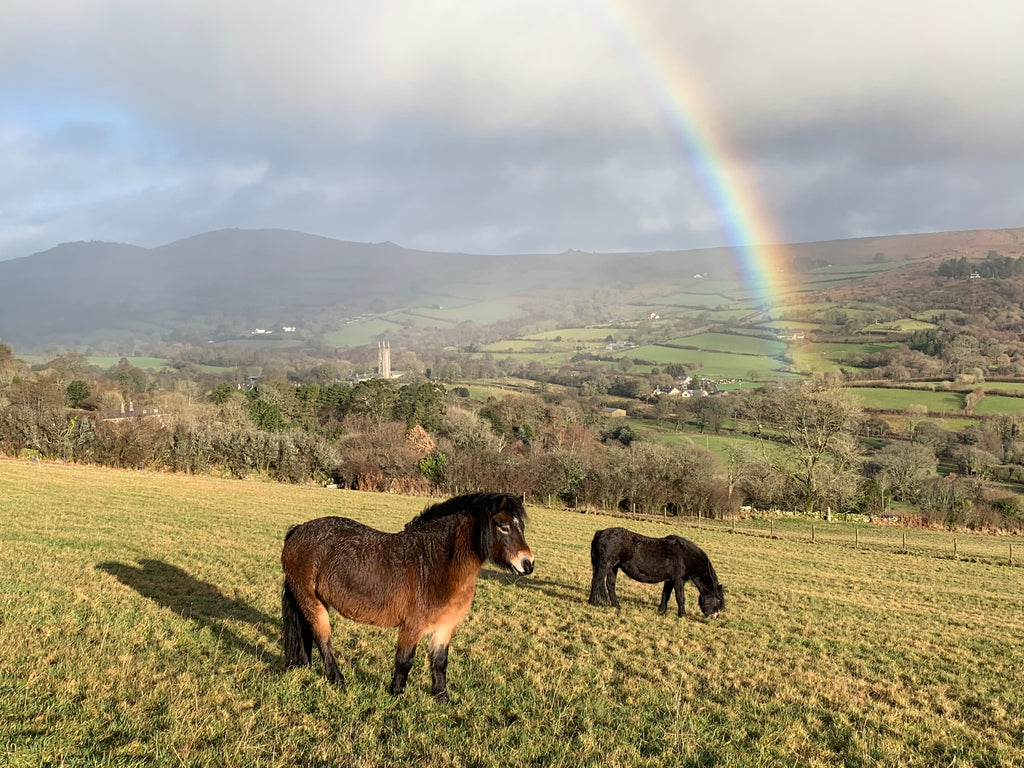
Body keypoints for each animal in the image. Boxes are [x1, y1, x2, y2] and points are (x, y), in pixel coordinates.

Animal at [282, 493, 536, 704]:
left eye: (521, 526)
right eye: (503, 526)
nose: (528, 564)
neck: (434, 564)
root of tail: (297, 530)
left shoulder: (446, 626)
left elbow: (440, 661)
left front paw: (442, 697)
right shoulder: (412, 626)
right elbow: (405, 660)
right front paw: (396, 693)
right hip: (311, 602)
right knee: (323, 640)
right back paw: (338, 679)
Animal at [589, 528, 724, 618]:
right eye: (718, 600)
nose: (715, 616)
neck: (685, 556)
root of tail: (601, 532)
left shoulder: (670, 580)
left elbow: (666, 595)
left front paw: (662, 610)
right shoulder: (679, 580)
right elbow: (680, 597)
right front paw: (682, 614)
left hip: (613, 567)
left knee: (610, 585)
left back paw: (616, 605)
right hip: (605, 566)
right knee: (596, 581)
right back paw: (593, 602)